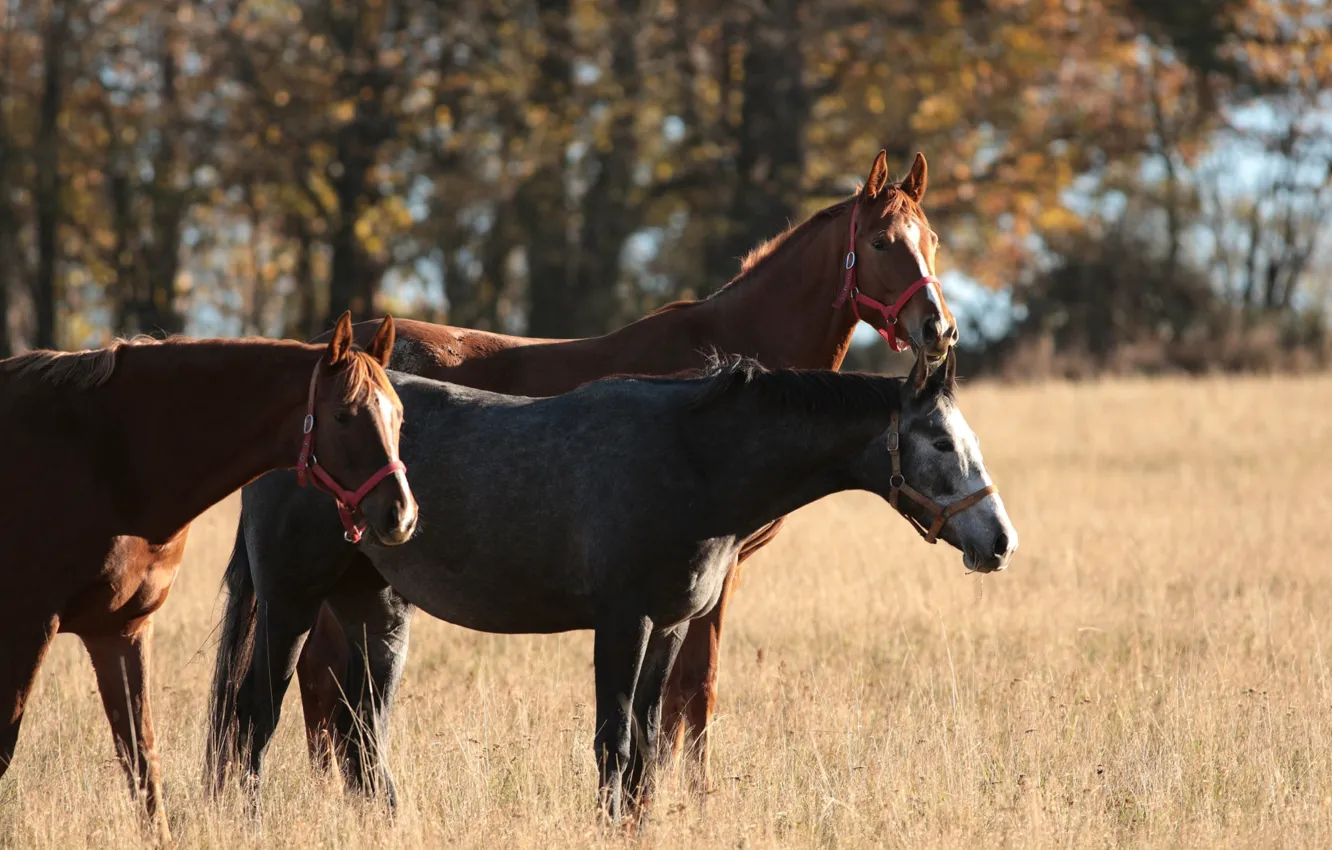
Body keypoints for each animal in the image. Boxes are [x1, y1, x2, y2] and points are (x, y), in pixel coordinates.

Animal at [0, 312, 416, 842]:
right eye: (343, 415)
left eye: (399, 415)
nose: (400, 514)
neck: (108, 454)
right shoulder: (28, 626)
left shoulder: (120, 629)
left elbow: (141, 758)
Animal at [207, 349, 1018, 819]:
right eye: (939, 441)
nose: (1000, 541)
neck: (693, 458)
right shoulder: (622, 623)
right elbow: (616, 745)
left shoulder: (670, 626)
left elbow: (649, 750)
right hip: (291, 603)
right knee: (253, 719)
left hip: (375, 610)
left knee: (360, 735)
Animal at [290, 151, 963, 783]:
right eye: (880, 242)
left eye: (931, 238)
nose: (939, 329)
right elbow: (693, 692)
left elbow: (684, 696)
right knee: (319, 676)